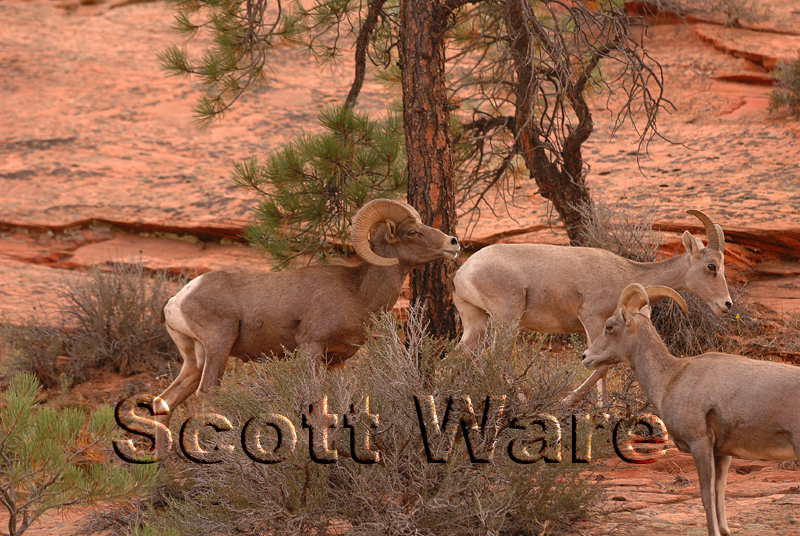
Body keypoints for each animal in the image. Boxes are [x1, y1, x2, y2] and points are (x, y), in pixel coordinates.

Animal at [152, 199, 460, 454]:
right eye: (412, 232)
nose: (453, 242)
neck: (358, 292)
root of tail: (178, 300)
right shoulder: (311, 347)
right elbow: (314, 406)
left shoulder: (335, 361)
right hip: (219, 344)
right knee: (208, 394)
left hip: (195, 360)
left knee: (163, 402)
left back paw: (161, 469)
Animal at [452, 209, 732, 404]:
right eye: (711, 266)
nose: (726, 304)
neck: (625, 271)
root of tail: (463, 273)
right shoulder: (593, 319)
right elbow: (602, 367)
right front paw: (569, 402)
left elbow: (601, 370)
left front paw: (604, 412)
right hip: (506, 320)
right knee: (495, 358)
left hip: (477, 322)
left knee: (462, 355)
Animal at [582, 283, 800, 536]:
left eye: (609, 326)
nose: (585, 357)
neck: (670, 379)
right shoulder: (722, 453)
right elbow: (719, 495)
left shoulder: (700, 445)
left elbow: (706, 496)